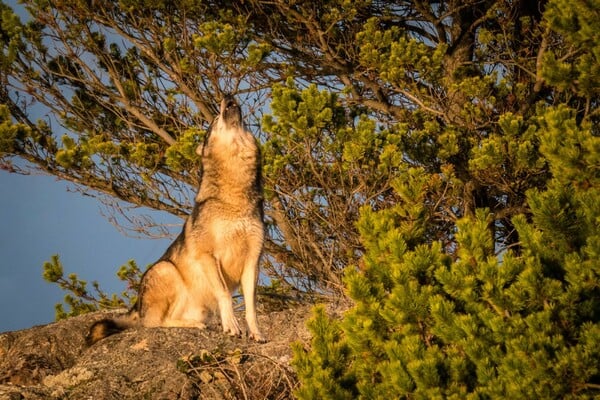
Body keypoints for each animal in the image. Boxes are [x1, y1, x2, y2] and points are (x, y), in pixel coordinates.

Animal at [86, 95, 264, 346]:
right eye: (213, 121)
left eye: (244, 123)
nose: (228, 96)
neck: (234, 198)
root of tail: (137, 307)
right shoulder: (207, 256)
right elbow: (225, 294)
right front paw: (231, 326)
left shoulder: (252, 262)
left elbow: (251, 307)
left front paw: (256, 333)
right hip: (167, 269)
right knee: (152, 323)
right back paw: (194, 325)